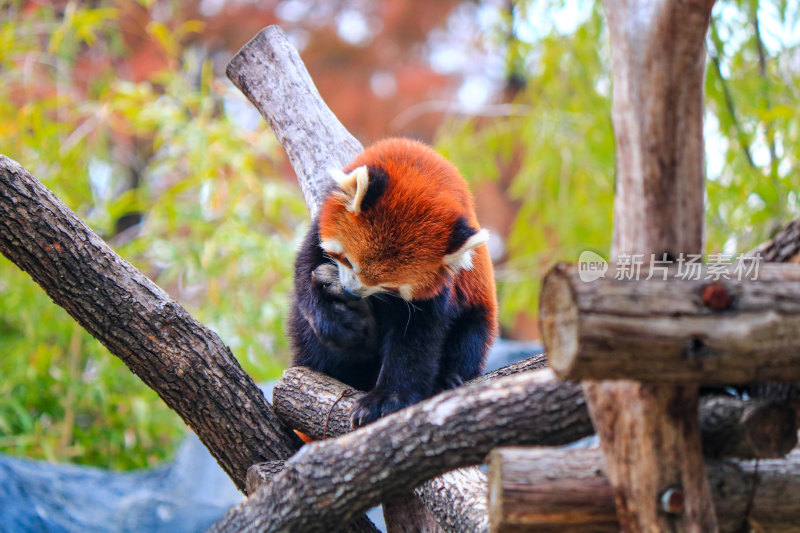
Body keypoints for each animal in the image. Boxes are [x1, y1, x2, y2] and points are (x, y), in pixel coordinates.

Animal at [290, 138, 496, 428]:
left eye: (389, 286)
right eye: (348, 261)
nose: (352, 293)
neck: (421, 167)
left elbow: (415, 339)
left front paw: (386, 399)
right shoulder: (319, 229)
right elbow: (305, 280)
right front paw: (336, 325)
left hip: (478, 313)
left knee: (470, 338)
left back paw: (447, 379)